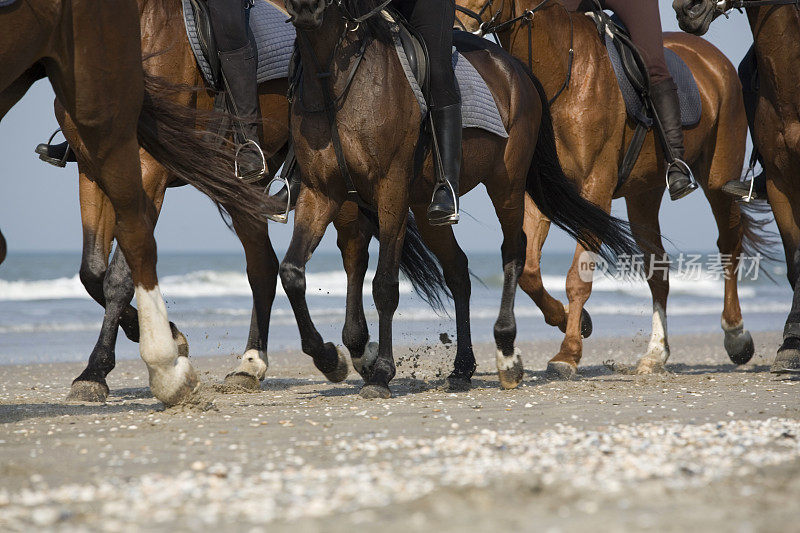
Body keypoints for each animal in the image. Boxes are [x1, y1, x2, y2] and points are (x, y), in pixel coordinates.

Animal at [0, 0, 286, 404]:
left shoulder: (148, 169)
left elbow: (122, 273)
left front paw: (95, 371)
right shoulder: (92, 166)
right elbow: (92, 271)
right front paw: (170, 335)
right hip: (240, 189)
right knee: (262, 266)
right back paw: (250, 366)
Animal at [278, 0, 640, 400]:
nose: (308, 9)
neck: (335, 80)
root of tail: (516, 68)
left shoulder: (391, 193)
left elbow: (385, 286)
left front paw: (381, 374)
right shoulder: (320, 193)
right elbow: (292, 272)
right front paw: (329, 358)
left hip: (506, 184)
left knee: (514, 250)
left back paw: (507, 354)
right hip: (427, 210)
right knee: (458, 271)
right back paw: (463, 367)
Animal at [456, 0, 764, 378]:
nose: (457, 33)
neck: (563, 73)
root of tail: (713, 58)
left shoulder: (596, 189)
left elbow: (577, 278)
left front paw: (568, 353)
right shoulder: (540, 193)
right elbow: (529, 271)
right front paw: (573, 322)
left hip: (719, 177)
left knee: (729, 244)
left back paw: (736, 336)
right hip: (643, 196)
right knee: (657, 268)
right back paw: (655, 353)